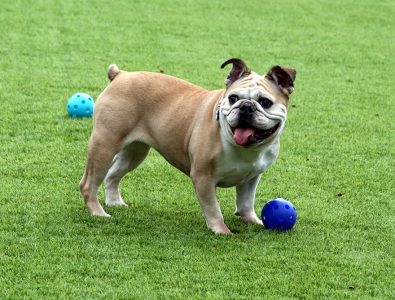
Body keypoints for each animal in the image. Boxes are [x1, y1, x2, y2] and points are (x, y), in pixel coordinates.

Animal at [79, 58, 296, 234]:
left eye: (265, 102)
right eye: (233, 98)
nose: (246, 107)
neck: (244, 148)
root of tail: (120, 75)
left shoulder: (251, 177)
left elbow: (245, 202)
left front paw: (253, 220)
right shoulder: (203, 178)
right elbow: (213, 208)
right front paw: (221, 231)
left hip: (134, 153)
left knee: (113, 174)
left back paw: (115, 203)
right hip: (104, 146)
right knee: (89, 183)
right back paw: (98, 213)